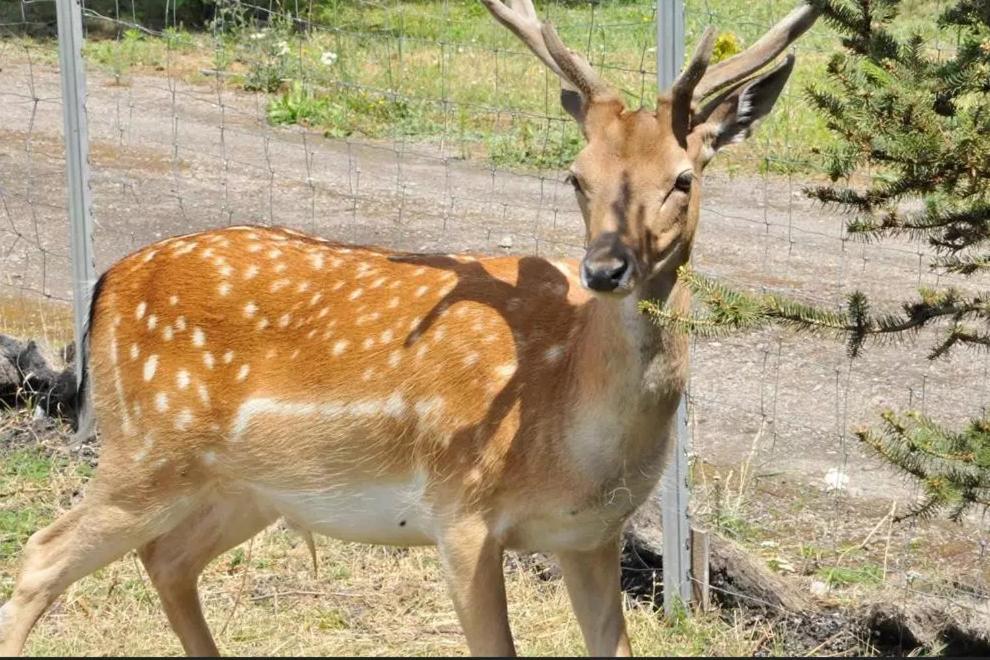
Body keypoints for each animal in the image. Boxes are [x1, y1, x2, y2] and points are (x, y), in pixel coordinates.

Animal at [0, 2, 820, 656]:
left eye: (684, 177)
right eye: (576, 176)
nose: (604, 269)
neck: (570, 430)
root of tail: (105, 284)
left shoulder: (592, 534)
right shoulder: (459, 512)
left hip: (243, 487)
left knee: (167, 560)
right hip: (147, 448)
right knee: (41, 553)